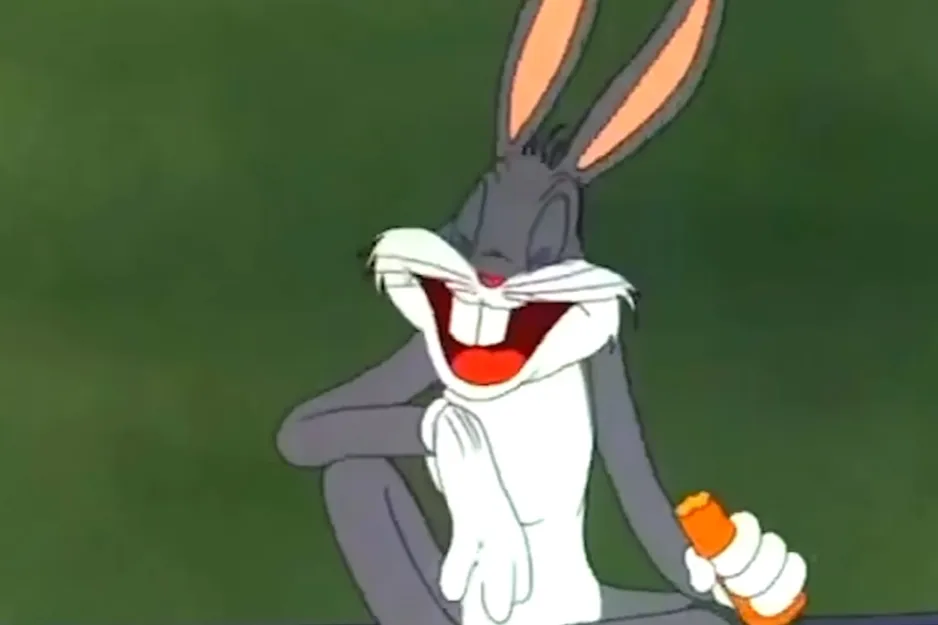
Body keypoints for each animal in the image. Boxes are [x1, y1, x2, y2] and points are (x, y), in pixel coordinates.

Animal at [277, 1, 805, 625]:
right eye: (472, 213)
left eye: (552, 235)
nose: (491, 273)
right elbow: (310, 427)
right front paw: (485, 506)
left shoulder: (608, 366)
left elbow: (648, 504)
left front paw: (752, 569)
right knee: (353, 471)